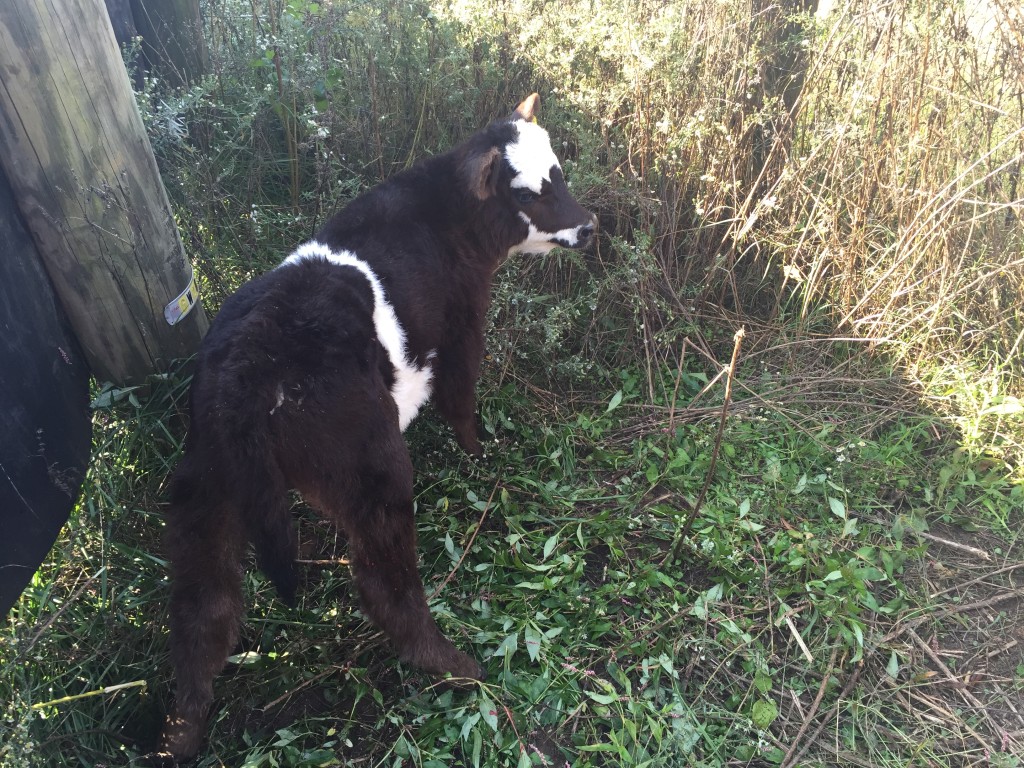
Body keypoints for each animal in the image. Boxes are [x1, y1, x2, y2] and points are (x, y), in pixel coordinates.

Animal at [155, 93, 598, 761]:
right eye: (527, 191)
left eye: (560, 171)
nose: (590, 225)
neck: (440, 214)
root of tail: (250, 369)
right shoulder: (463, 322)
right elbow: (460, 396)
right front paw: (480, 454)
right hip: (373, 469)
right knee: (383, 583)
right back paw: (458, 666)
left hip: (204, 488)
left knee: (203, 610)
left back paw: (181, 733)